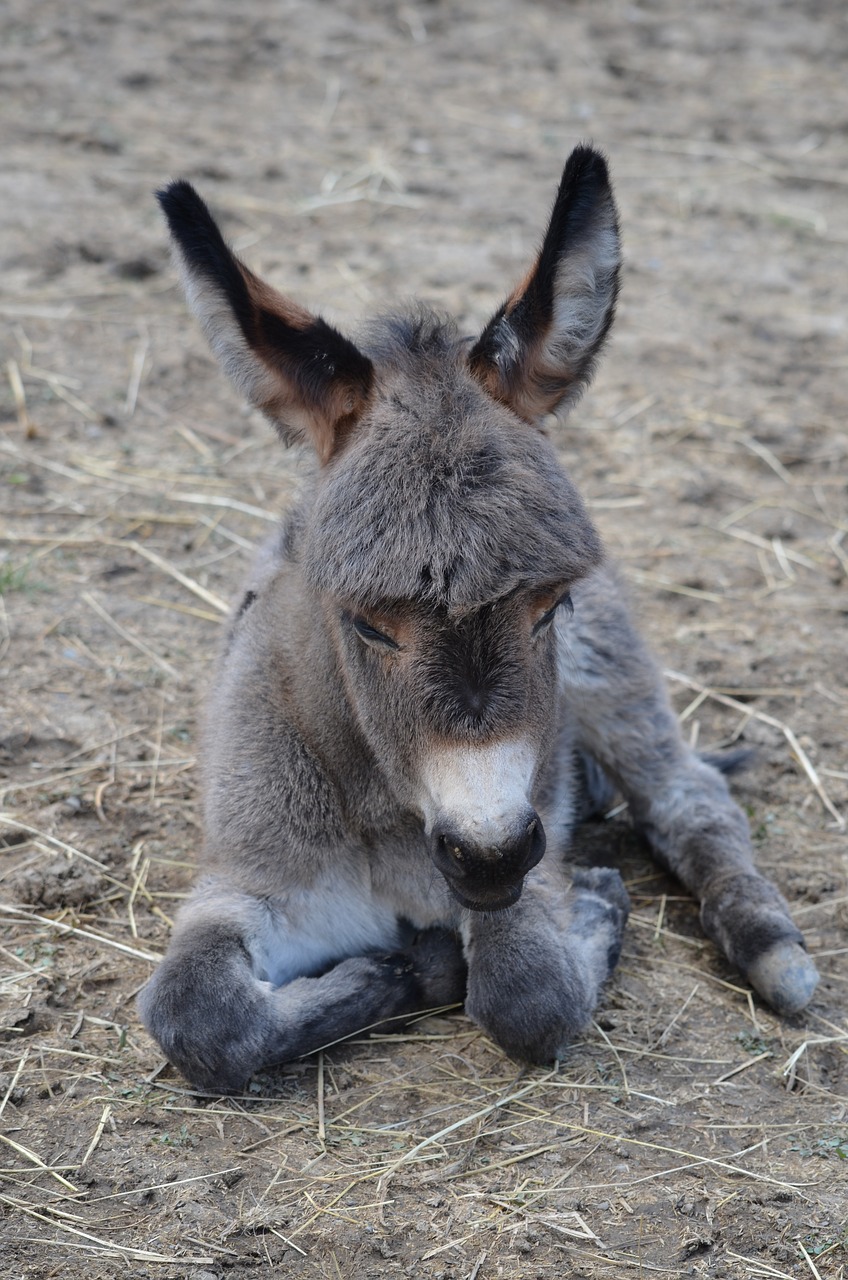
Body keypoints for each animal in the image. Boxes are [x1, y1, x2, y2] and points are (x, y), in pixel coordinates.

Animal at [137, 147, 819, 1090]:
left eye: (551, 604)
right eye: (364, 623)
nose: (489, 852)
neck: (389, 818)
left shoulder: (526, 855)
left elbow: (527, 993)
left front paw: (588, 917)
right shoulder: (249, 877)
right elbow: (198, 1012)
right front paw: (391, 974)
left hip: (611, 684)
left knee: (690, 797)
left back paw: (772, 951)